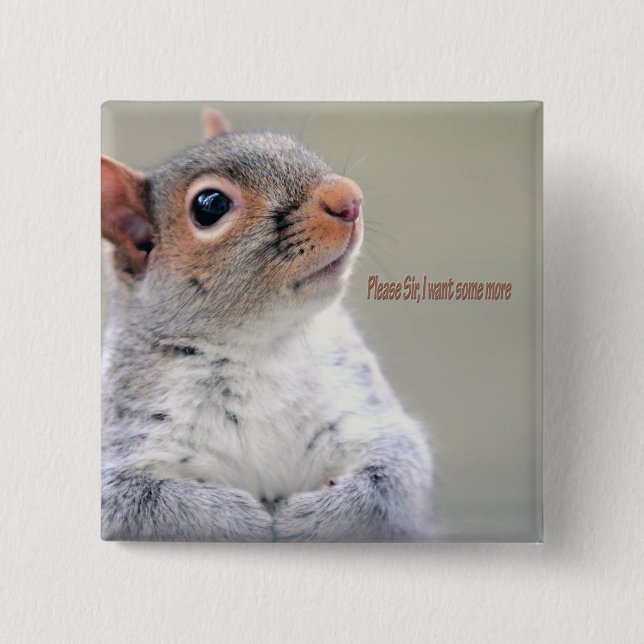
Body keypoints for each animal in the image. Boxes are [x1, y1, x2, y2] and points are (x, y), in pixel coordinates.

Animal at [101, 109, 434, 541]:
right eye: (210, 205)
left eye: (291, 143)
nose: (349, 198)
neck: (260, 347)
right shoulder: (124, 444)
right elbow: (137, 504)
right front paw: (238, 521)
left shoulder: (364, 411)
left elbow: (397, 474)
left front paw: (311, 519)